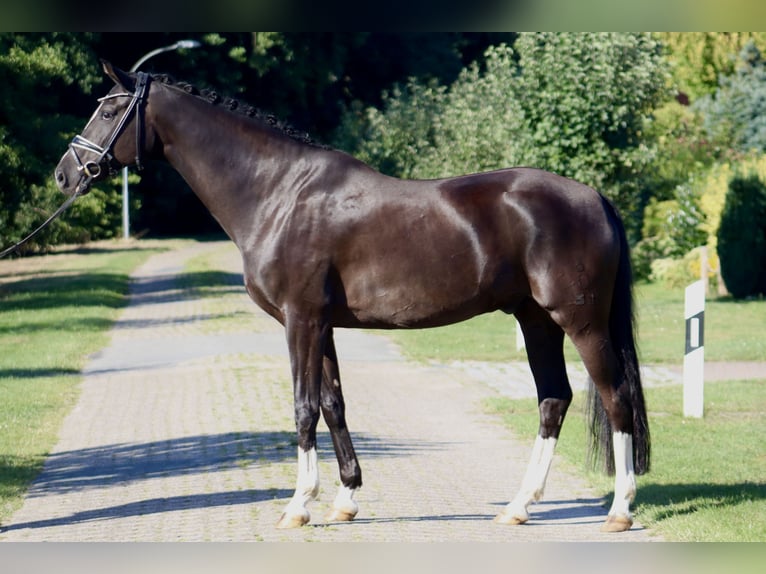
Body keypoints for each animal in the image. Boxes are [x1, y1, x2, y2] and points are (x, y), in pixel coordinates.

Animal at [54, 60, 652, 532]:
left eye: (108, 111)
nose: (64, 175)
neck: (278, 192)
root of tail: (593, 196)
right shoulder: (322, 324)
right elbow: (333, 404)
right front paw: (343, 499)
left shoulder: (301, 321)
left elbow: (302, 408)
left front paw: (298, 505)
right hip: (535, 320)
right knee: (554, 400)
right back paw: (518, 506)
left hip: (580, 322)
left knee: (616, 397)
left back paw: (619, 511)